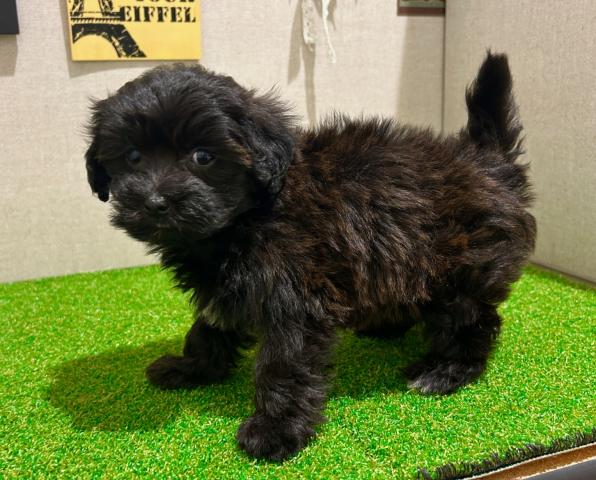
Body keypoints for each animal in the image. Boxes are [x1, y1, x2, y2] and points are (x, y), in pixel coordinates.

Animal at [85, 52, 536, 461]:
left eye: (203, 156)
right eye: (132, 157)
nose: (155, 202)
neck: (248, 214)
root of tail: (486, 159)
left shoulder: (295, 296)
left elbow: (282, 364)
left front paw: (275, 430)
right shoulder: (225, 286)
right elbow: (208, 328)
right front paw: (192, 367)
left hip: (461, 267)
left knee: (472, 319)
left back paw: (446, 370)